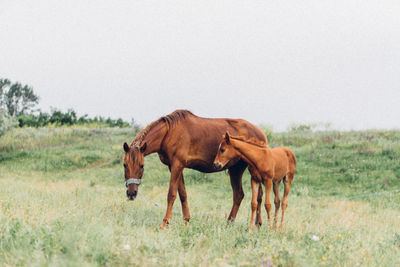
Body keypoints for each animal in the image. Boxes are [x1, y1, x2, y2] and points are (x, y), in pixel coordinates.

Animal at [121, 110, 266, 229]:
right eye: (124, 165)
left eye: (141, 166)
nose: (131, 193)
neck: (169, 133)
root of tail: (261, 134)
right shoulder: (174, 167)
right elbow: (182, 194)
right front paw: (186, 221)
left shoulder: (177, 165)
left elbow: (171, 194)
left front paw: (165, 223)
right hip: (236, 169)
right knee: (240, 195)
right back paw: (236, 224)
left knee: (254, 196)